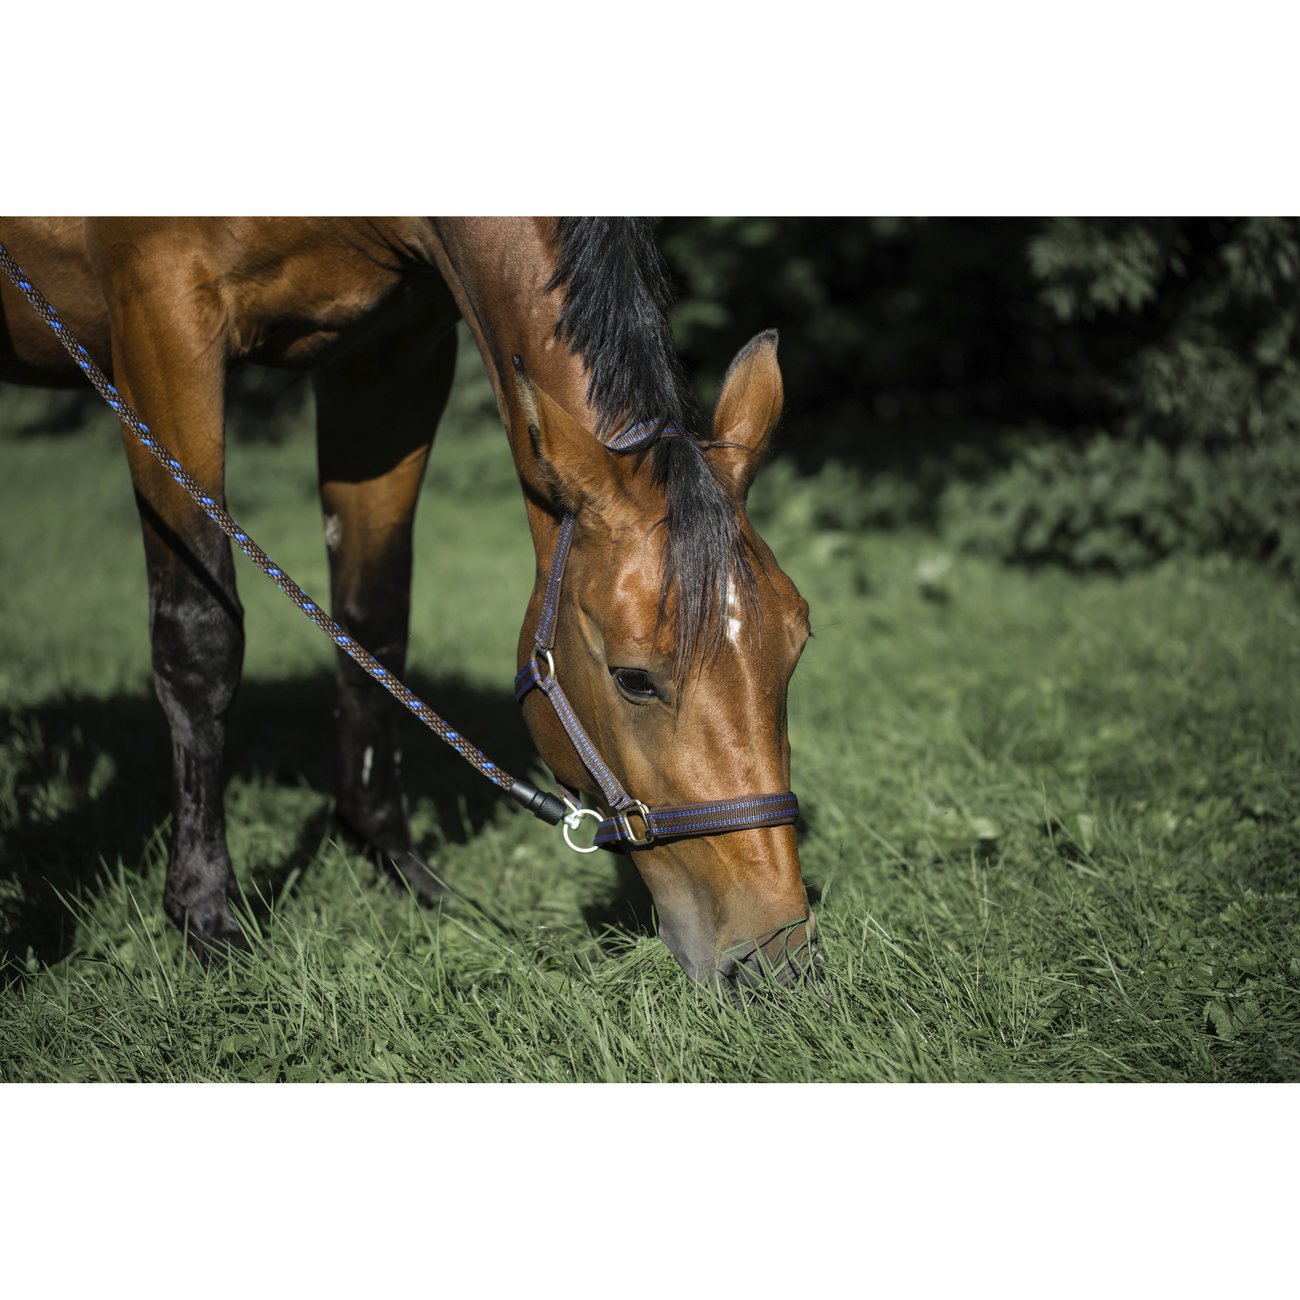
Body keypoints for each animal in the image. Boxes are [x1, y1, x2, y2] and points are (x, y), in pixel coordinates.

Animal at [0, 217, 817, 992]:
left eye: (797, 647)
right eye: (633, 678)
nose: (775, 959)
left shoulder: (391, 360)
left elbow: (374, 622)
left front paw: (389, 857)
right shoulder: (162, 318)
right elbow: (198, 639)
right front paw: (205, 913)